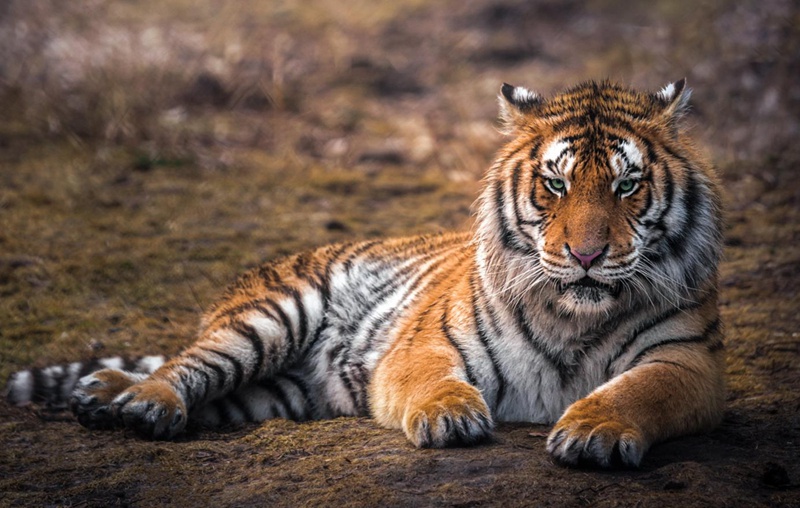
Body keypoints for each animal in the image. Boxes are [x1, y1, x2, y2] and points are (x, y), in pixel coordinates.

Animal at [3, 80, 724, 468]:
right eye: (555, 184)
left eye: (627, 185)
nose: (586, 256)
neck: (574, 315)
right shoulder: (422, 343)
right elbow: (434, 379)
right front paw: (449, 417)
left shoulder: (687, 359)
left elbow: (640, 391)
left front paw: (593, 430)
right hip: (270, 318)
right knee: (186, 365)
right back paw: (138, 402)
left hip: (277, 395)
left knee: (206, 391)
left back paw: (105, 394)